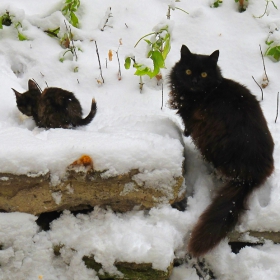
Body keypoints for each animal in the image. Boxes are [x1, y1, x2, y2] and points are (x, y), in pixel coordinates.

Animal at [168, 44, 274, 258]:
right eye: (188, 71)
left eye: (204, 73)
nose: (195, 80)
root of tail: (251, 175)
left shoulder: (190, 119)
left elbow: (186, 129)